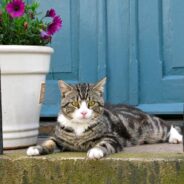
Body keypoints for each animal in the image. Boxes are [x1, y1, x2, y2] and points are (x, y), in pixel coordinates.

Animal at [27, 77, 183, 158]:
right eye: (75, 103)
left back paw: (176, 137)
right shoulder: (60, 138)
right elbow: (50, 142)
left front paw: (95, 150)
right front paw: (36, 148)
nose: (84, 113)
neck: (79, 128)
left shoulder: (111, 137)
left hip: (151, 128)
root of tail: (137, 108)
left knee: (167, 125)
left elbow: (104, 143)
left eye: (91, 103)